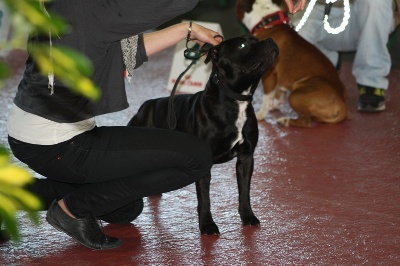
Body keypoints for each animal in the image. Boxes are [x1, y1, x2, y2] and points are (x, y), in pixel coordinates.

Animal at [128, 35, 278, 235]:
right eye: (242, 45)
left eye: (256, 38)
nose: (270, 39)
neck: (236, 101)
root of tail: (144, 107)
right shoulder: (205, 163)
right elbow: (205, 198)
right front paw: (207, 225)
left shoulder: (246, 158)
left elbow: (245, 191)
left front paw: (248, 216)